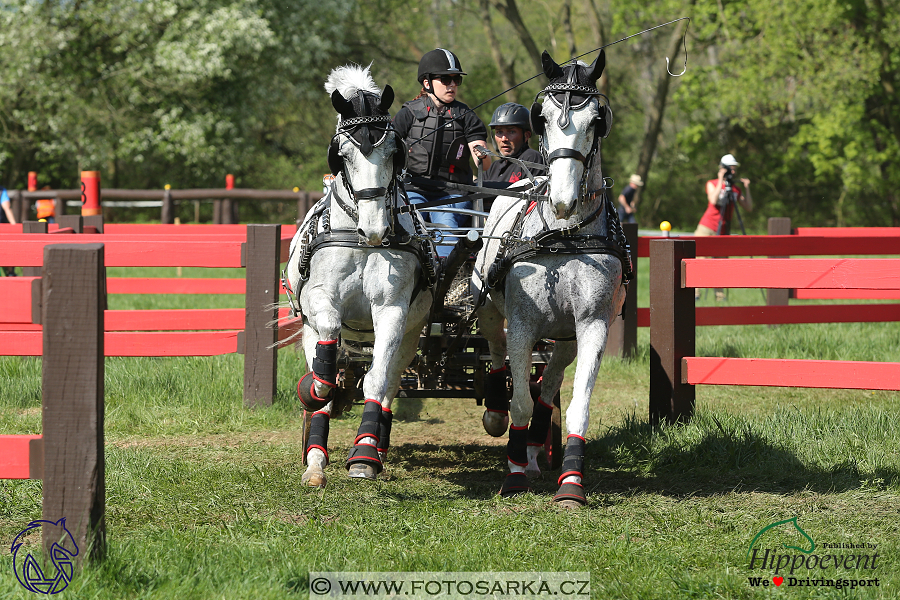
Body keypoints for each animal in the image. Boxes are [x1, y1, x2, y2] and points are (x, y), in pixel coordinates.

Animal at [282, 64, 436, 488]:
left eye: (393, 151)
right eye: (343, 154)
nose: (375, 229)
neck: (359, 240)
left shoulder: (393, 311)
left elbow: (377, 381)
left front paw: (365, 455)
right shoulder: (320, 301)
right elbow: (328, 344)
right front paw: (317, 389)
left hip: (410, 336)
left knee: (387, 384)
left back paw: (374, 447)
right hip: (309, 328)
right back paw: (315, 458)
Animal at [474, 51, 628, 508]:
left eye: (597, 120)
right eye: (540, 117)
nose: (562, 199)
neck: (563, 235)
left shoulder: (592, 324)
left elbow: (575, 405)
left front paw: (571, 482)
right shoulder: (523, 324)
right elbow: (520, 403)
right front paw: (512, 476)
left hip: (564, 335)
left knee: (550, 383)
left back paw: (535, 450)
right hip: (490, 309)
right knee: (496, 354)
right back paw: (497, 415)